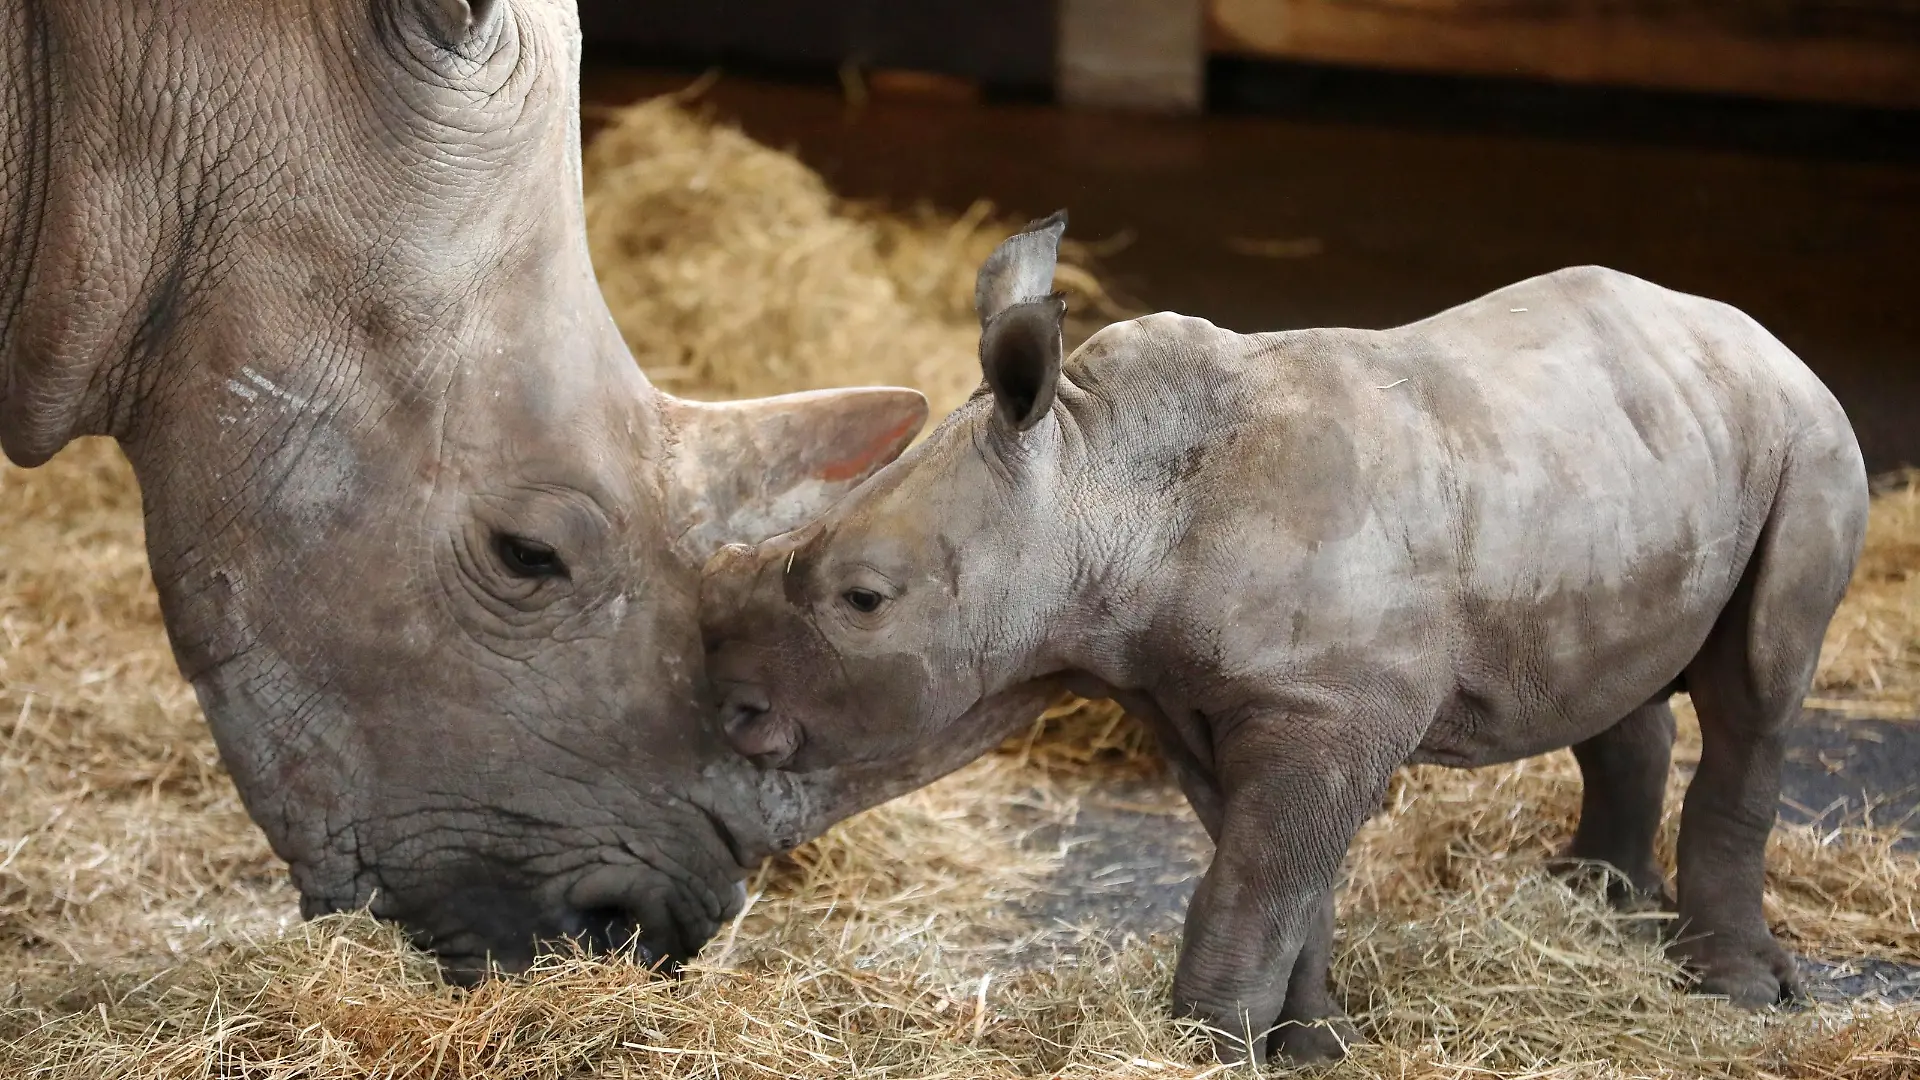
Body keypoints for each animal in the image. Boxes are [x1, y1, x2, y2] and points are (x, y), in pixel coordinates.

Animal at [700, 211, 1871, 1062]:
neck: (1098, 477)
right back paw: (1596, 907)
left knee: (1759, 688)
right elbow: (1275, 879)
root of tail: (1756, 332)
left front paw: (1201, 1051)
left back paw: (1737, 989)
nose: (737, 714)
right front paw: (1312, 1047)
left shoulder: (1325, 708)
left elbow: (1254, 884)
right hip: (1637, 452)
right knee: (1614, 675)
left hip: (1809, 439)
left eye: (863, 600)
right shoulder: (1185, 691)